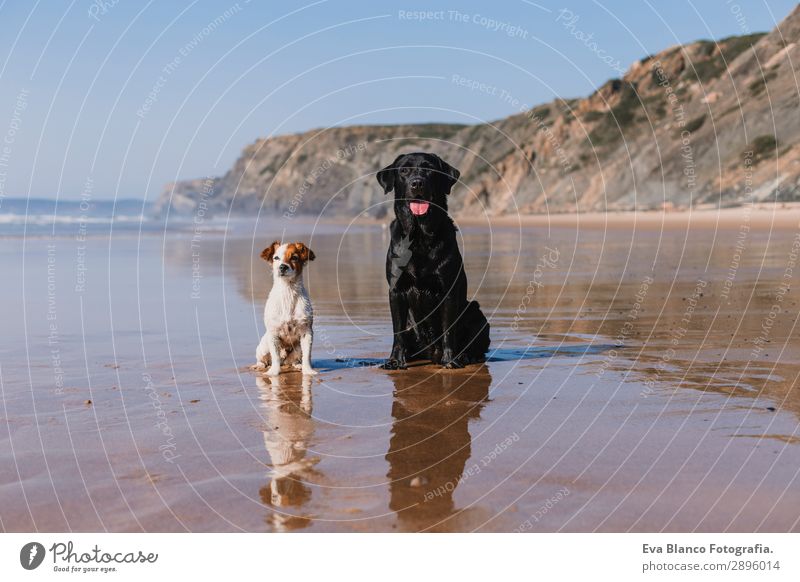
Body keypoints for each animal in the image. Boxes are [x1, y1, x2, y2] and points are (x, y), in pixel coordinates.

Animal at [256, 242, 318, 378]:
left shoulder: (306, 332)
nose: (282, 267)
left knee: (296, 359)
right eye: (276, 258)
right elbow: (275, 357)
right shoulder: (273, 334)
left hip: (298, 348)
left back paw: (298, 365)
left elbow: (307, 355)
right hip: (264, 347)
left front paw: (308, 371)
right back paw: (260, 365)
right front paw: (274, 372)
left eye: (294, 257)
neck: (288, 290)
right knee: (264, 359)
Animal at [378, 152, 490, 370]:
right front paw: (395, 360)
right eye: (404, 170)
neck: (419, 236)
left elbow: (448, 329)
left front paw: (450, 360)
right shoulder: (396, 290)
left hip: (476, 313)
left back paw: (466, 356)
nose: (417, 183)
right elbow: (397, 331)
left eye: (429, 169)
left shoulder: (448, 290)